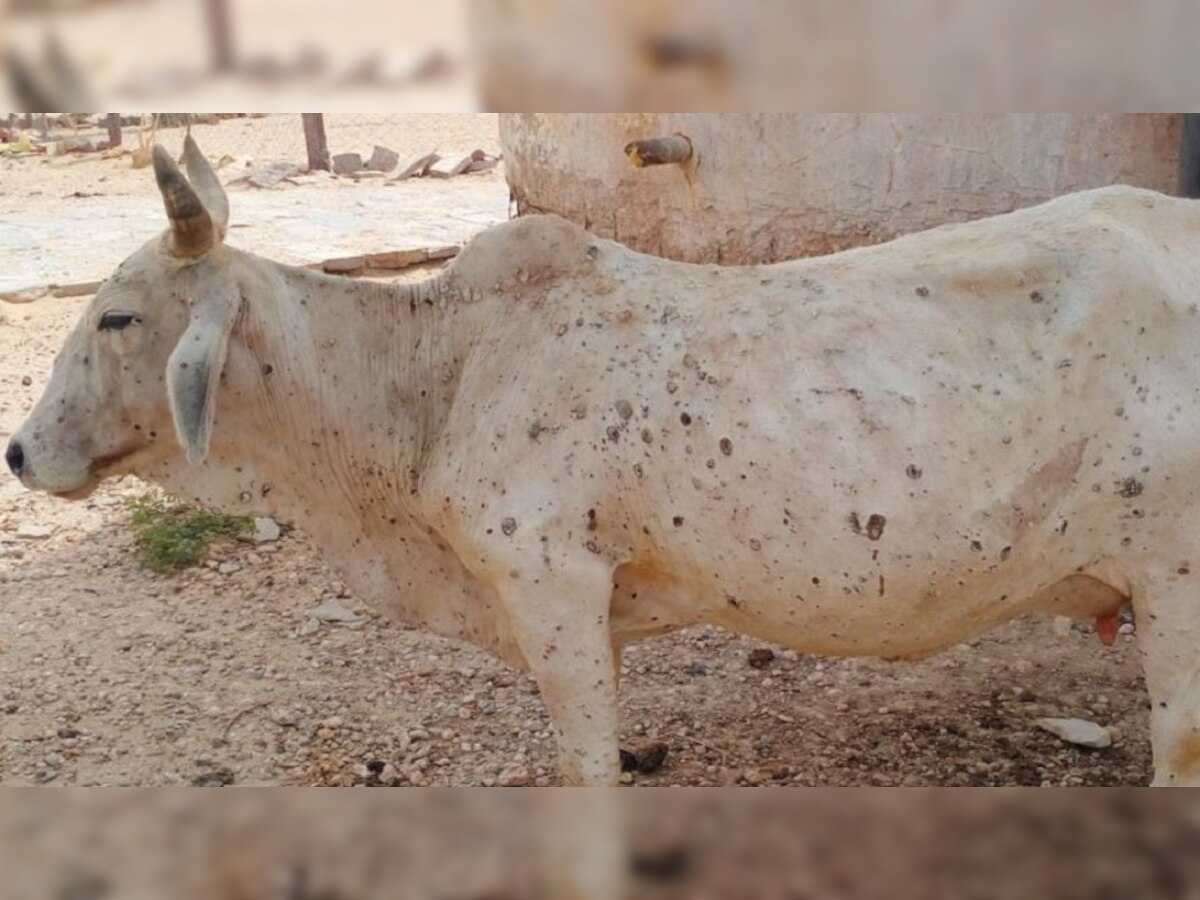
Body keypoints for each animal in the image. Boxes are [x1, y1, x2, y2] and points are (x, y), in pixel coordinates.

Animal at [7, 137, 1200, 792]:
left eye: (118, 316)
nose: (18, 451)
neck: (433, 375)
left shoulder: (552, 586)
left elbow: (585, 771)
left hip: (1175, 581)